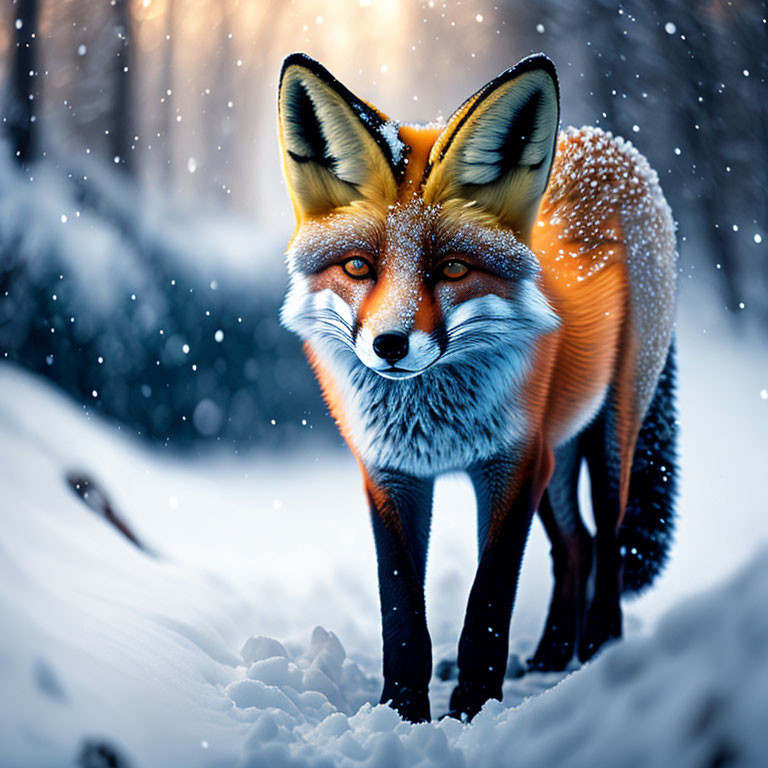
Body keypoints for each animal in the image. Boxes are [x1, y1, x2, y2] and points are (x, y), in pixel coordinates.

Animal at [276, 51, 680, 724]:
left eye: (453, 269)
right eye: (358, 267)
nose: (390, 345)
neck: (433, 423)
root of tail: (607, 142)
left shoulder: (512, 465)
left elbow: (487, 602)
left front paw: (472, 706)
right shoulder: (390, 474)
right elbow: (401, 611)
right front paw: (403, 709)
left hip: (608, 434)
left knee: (610, 534)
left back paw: (599, 649)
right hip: (556, 454)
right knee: (577, 545)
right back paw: (550, 655)